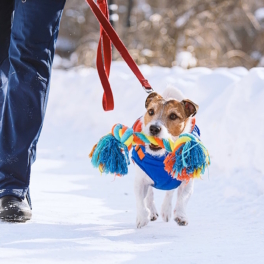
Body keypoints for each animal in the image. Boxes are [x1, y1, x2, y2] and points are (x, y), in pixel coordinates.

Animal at [132, 85, 198, 228]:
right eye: (151, 112)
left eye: (173, 116)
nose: (154, 128)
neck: (160, 157)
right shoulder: (140, 179)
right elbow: (140, 200)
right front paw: (142, 217)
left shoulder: (186, 179)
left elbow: (182, 197)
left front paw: (181, 216)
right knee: (149, 195)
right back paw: (151, 212)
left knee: (169, 192)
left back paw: (166, 210)